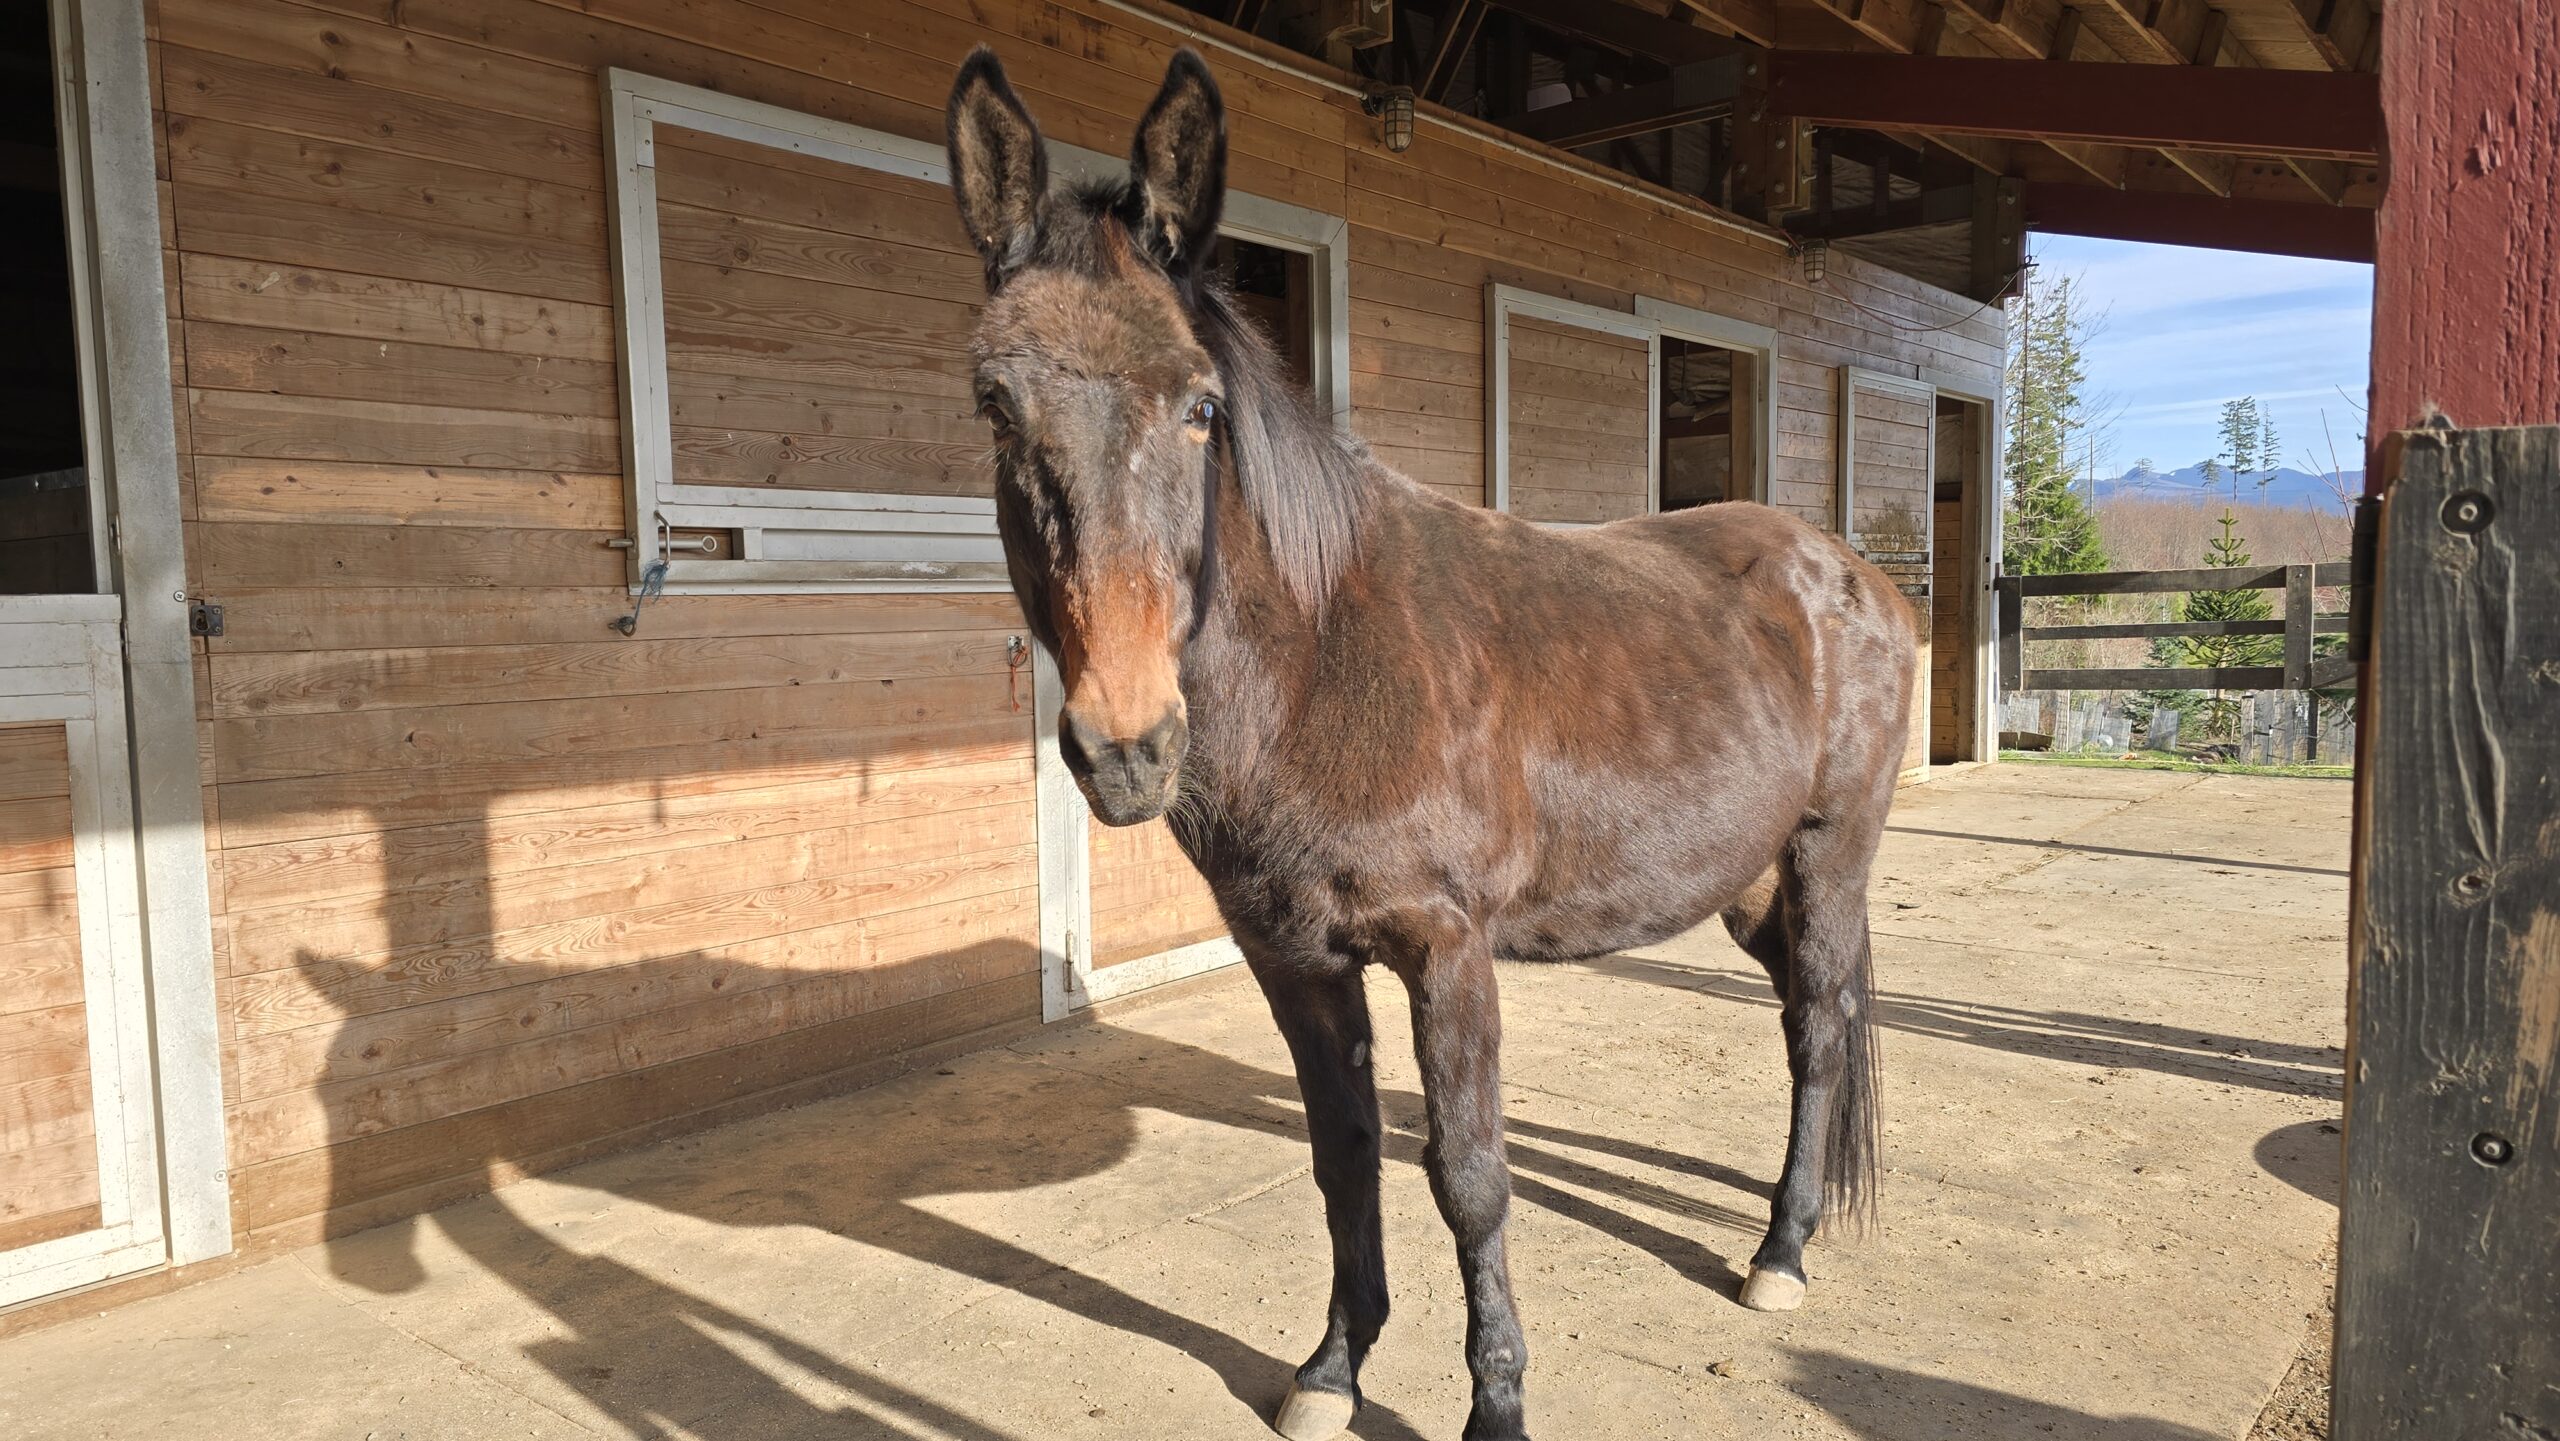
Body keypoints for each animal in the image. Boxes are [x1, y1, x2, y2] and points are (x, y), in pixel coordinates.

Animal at [945, 46, 1915, 1441]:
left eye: (1199, 406)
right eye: (993, 403)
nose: (1127, 746)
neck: (1329, 663)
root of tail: (1847, 572)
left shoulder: (1448, 952)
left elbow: (1466, 1175)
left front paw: (1493, 1401)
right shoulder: (1294, 961)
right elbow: (1343, 1156)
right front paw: (1331, 1368)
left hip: (1830, 853)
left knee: (1823, 1023)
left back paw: (1779, 1252)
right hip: (1746, 880)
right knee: (1793, 1017)